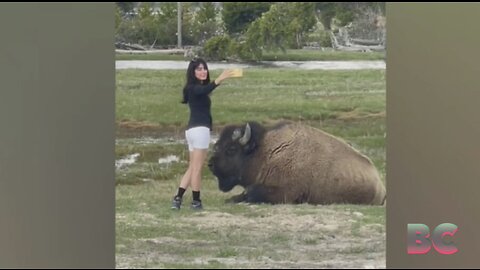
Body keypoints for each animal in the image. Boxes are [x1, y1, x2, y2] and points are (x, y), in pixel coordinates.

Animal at [209, 121, 386, 206]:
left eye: (231, 149)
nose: (210, 164)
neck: (265, 152)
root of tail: (380, 184)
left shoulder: (285, 192)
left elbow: (252, 192)